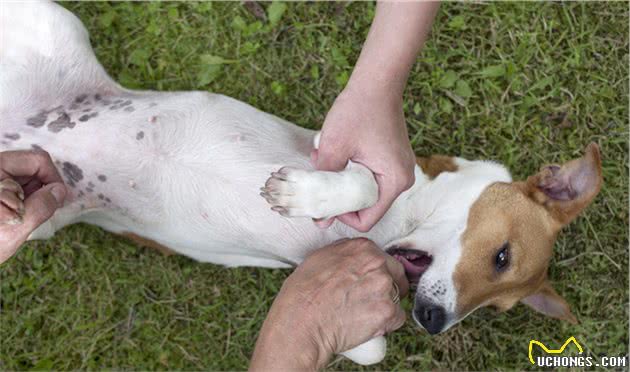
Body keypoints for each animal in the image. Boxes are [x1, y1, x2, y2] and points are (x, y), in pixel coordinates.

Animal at [0, 0, 604, 366]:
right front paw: (302, 194)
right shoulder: (350, 152)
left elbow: (373, 347)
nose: (433, 322)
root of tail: (19, 128)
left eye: (497, 307)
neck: (402, 229)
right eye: (502, 256)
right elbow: (361, 182)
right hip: (51, 20)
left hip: (48, 215)